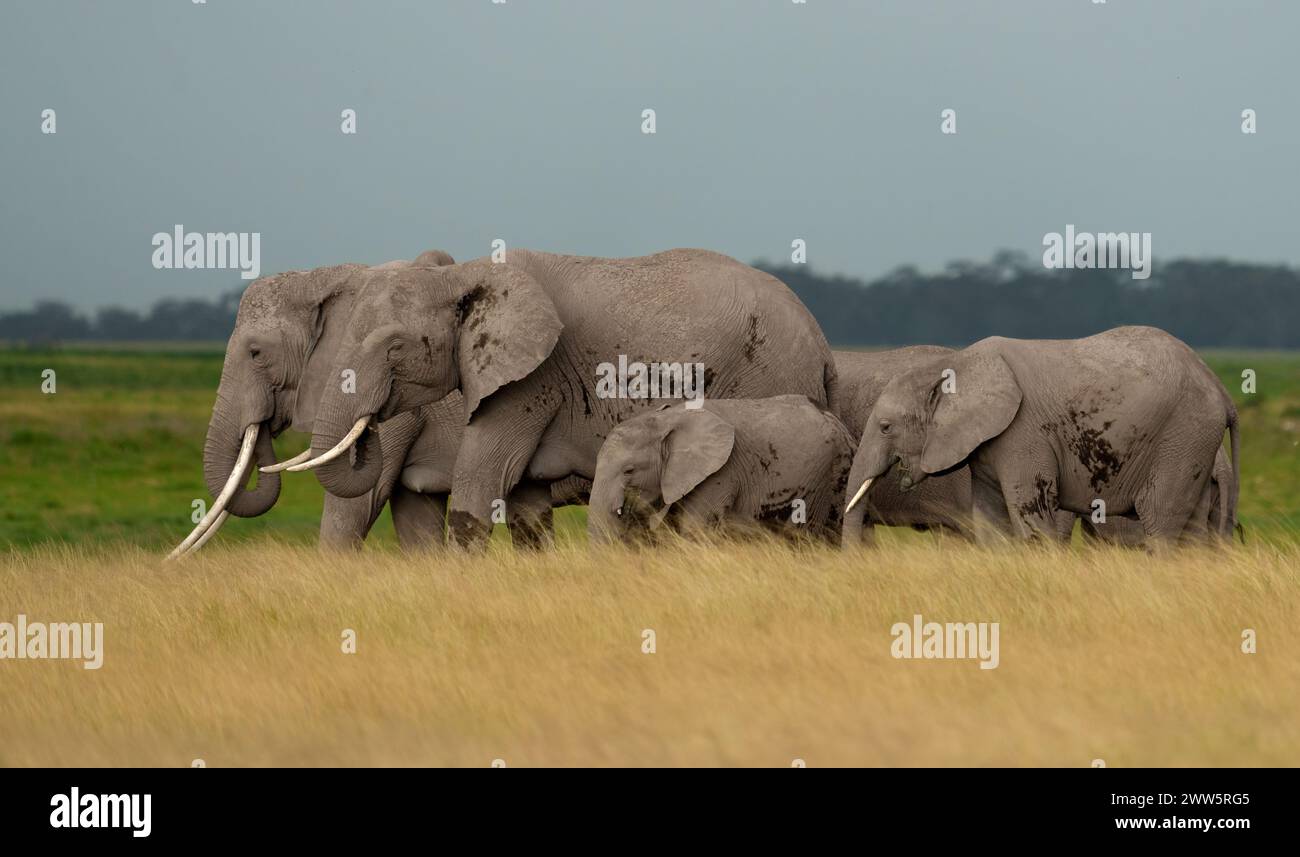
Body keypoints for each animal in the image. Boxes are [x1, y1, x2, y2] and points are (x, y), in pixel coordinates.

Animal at [842, 325, 1237, 546]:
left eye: (886, 427)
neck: (954, 364)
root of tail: (1221, 388)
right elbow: (991, 522)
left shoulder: (1023, 434)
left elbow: (1030, 516)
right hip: (1195, 445)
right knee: (1192, 531)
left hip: (1182, 437)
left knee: (1161, 522)